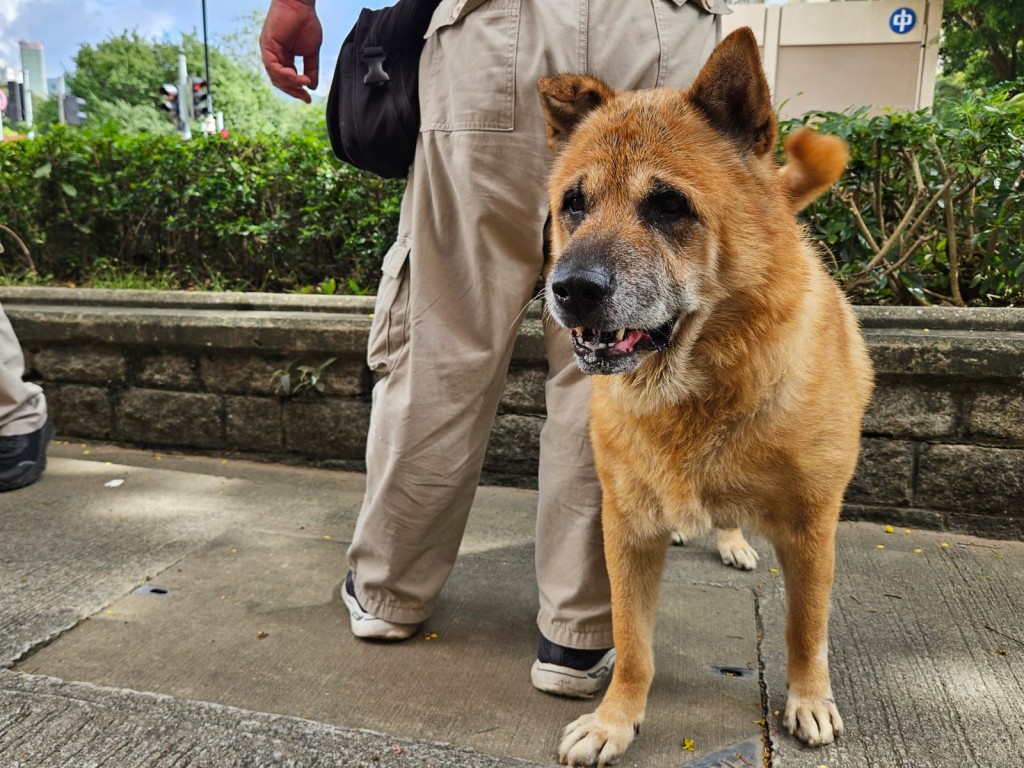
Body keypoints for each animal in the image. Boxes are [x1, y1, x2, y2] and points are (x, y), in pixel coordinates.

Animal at [536, 27, 872, 765]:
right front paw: (615, 721)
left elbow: (806, 630)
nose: (568, 290)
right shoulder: (626, 529)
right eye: (574, 203)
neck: (698, 390)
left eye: (668, 206)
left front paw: (809, 699)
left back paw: (733, 542)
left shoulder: (812, 531)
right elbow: (632, 644)